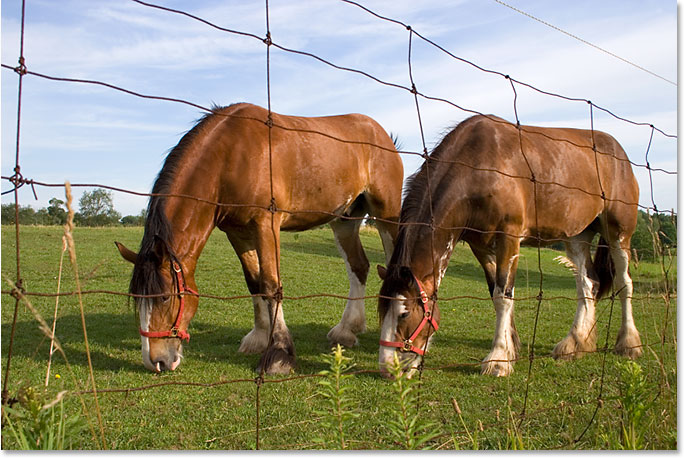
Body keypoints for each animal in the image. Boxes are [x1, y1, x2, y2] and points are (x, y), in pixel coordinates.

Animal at [115, 102, 404, 374]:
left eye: (164, 297)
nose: (156, 361)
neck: (230, 157)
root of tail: (383, 135)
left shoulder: (266, 225)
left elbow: (271, 284)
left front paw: (279, 353)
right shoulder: (238, 233)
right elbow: (254, 282)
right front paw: (260, 336)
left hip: (386, 214)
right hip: (344, 221)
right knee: (358, 266)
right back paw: (347, 330)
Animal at [380, 115, 640, 380]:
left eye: (404, 313)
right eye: (380, 309)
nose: (389, 369)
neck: (478, 168)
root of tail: (619, 153)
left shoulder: (509, 238)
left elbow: (503, 295)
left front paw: (498, 359)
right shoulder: (480, 246)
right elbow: (496, 292)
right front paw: (510, 346)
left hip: (619, 234)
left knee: (624, 283)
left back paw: (628, 344)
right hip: (577, 237)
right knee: (588, 284)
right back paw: (575, 343)